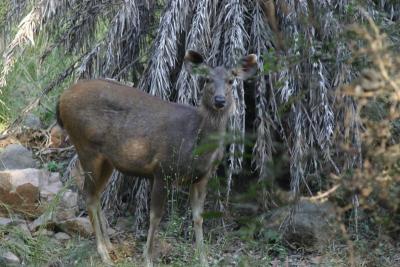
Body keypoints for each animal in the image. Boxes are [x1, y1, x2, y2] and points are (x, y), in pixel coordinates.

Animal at [55, 50, 256, 266]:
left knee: (97, 193)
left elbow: (198, 217)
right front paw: (148, 258)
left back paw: (109, 245)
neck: (197, 144)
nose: (220, 100)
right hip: (86, 147)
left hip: (107, 159)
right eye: (207, 79)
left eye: (231, 80)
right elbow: (155, 216)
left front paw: (203, 259)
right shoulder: (162, 169)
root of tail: (61, 98)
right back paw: (103, 253)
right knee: (88, 194)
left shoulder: (202, 177)